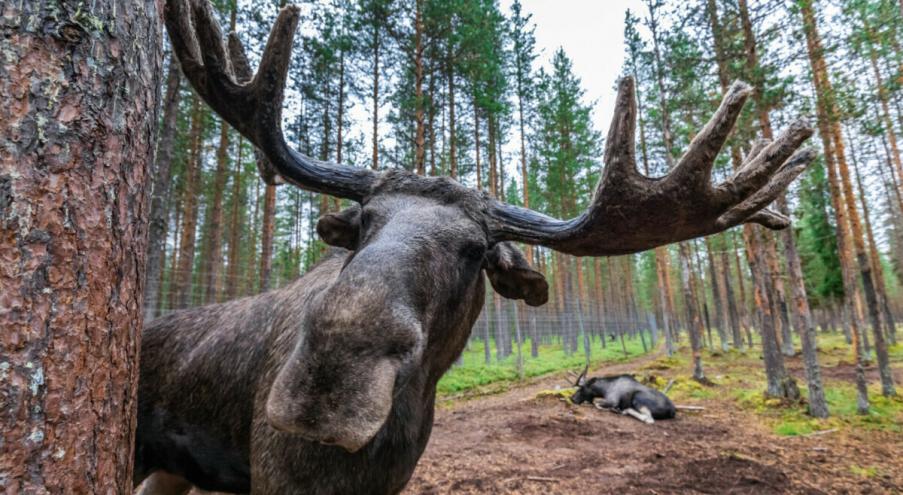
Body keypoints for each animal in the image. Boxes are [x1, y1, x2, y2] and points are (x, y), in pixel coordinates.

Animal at [136, 0, 820, 492]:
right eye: (363, 224)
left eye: (474, 252)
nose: (328, 382)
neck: (395, 433)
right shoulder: (282, 477)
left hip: (172, 472)